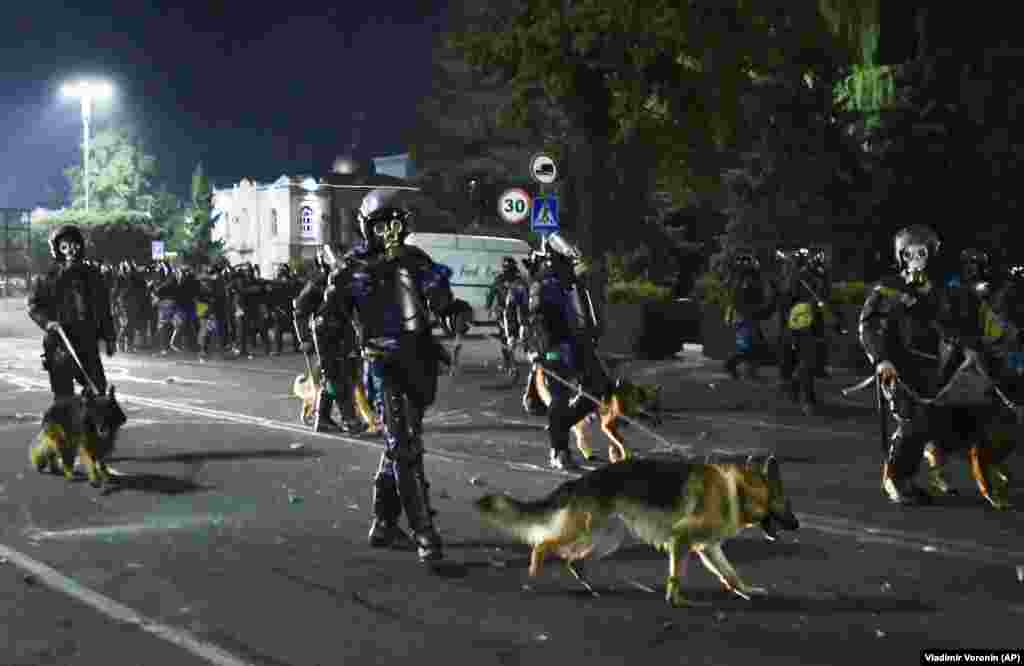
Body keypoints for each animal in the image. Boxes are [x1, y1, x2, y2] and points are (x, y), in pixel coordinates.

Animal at [473, 452, 798, 602]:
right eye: (787, 503)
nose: (797, 524)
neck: (738, 490)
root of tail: (580, 481)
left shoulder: (708, 548)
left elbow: (730, 574)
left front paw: (745, 591)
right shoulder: (681, 540)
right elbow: (676, 575)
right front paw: (675, 600)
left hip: (607, 538)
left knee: (574, 560)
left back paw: (589, 586)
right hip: (582, 532)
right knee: (543, 545)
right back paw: (534, 572)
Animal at [528, 362, 663, 461]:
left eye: (658, 407)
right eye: (654, 406)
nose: (660, 418)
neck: (632, 396)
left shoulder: (617, 422)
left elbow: (617, 440)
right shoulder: (608, 424)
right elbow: (621, 441)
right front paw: (625, 455)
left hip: (588, 420)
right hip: (581, 421)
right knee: (579, 438)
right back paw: (586, 454)